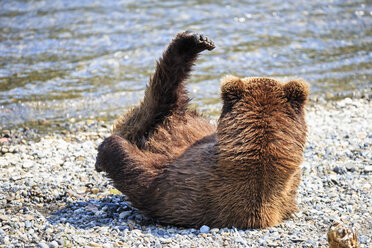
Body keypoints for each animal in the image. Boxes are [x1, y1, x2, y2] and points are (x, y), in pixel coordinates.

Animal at [94, 31, 310, 229]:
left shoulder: (186, 180)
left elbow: (139, 170)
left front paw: (107, 151)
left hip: (147, 119)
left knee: (160, 92)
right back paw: (197, 41)